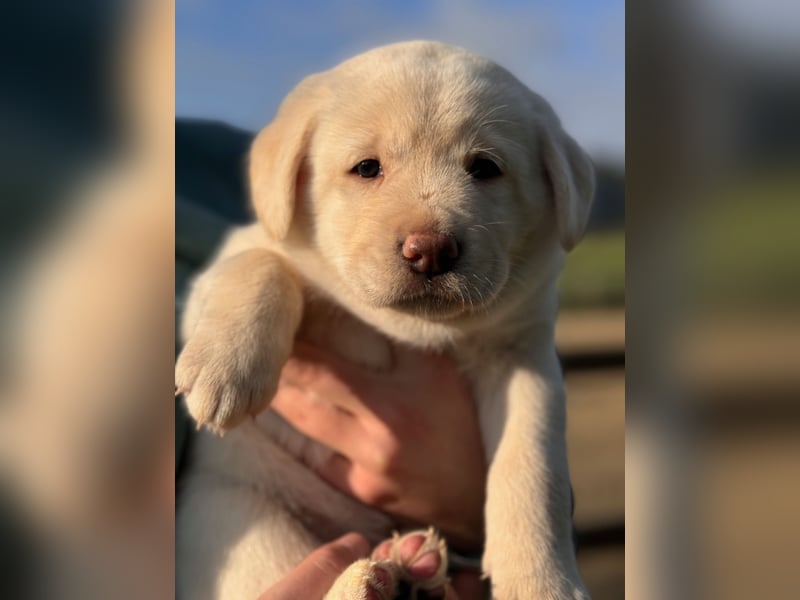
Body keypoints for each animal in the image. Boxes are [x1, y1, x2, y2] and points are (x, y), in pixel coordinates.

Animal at [177, 42, 592, 600]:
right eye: (367, 167)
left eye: (485, 167)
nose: (431, 250)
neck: (412, 329)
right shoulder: (226, 264)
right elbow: (262, 264)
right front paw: (225, 369)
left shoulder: (524, 357)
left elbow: (531, 464)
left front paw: (541, 582)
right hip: (242, 517)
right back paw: (372, 578)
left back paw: (400, 567)